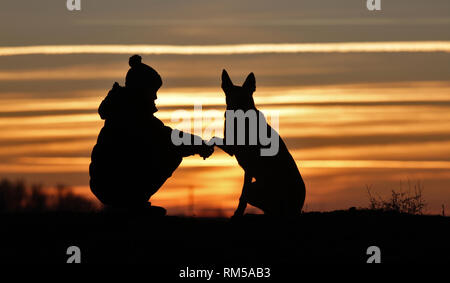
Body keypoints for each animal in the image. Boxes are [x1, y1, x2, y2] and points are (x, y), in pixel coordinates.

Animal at [212, 70, 306, 217]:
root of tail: (298, 207)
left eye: (244, 98)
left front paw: (238, 213)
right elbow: (214, 138)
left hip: (257, 188)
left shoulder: (248, 167)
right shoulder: (231, 148)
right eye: (230, 96)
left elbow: (242, 195)